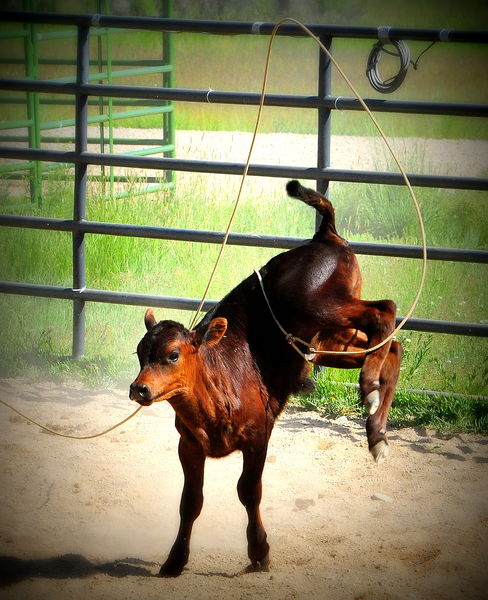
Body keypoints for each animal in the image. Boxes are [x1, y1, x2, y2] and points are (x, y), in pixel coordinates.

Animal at [130, 179, 400, 576]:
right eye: (139, 352)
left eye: (172, 355)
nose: (139, 389)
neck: (218, 385)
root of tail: (324, 235)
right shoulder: (188, 445)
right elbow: (190, 502)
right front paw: (175, 559)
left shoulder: (258, 437)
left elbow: (248, 491)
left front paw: (259, 551)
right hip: (328, 341)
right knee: (392, 345)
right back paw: (376, 429)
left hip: (321, 306)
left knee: (384, 311)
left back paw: (368, 386)